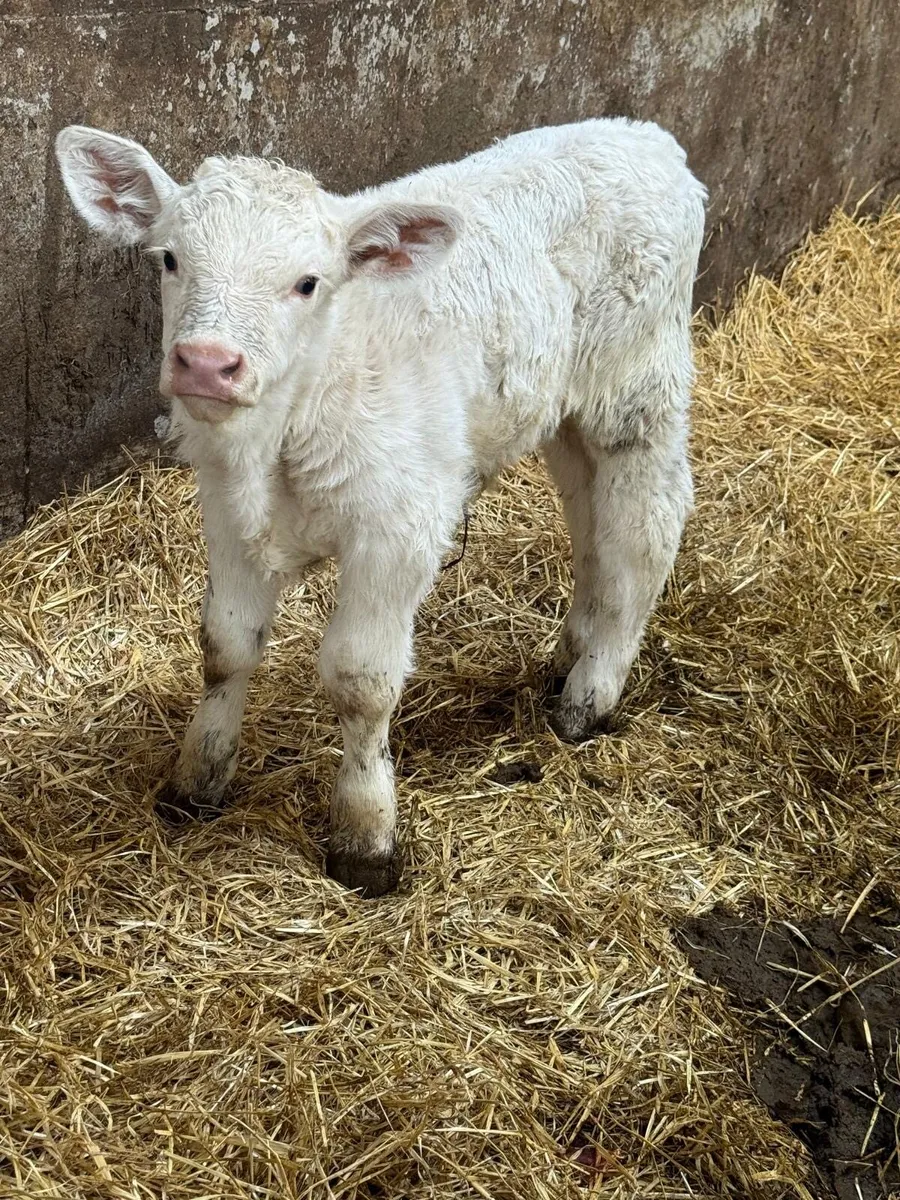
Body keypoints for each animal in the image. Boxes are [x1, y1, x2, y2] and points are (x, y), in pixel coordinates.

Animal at [56, 118, 706, 897]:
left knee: (643, 529)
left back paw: (590, 696)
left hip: (637, 388)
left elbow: (361, 682)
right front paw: (197, 781)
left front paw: (365, 836)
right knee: (591, 524)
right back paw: (571, 652)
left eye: (307, 283)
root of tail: (648, 137)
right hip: (564, 409)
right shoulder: (228, 511)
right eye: (172, 259)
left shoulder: (398, 527)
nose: (207, 363)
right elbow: (225, 645)